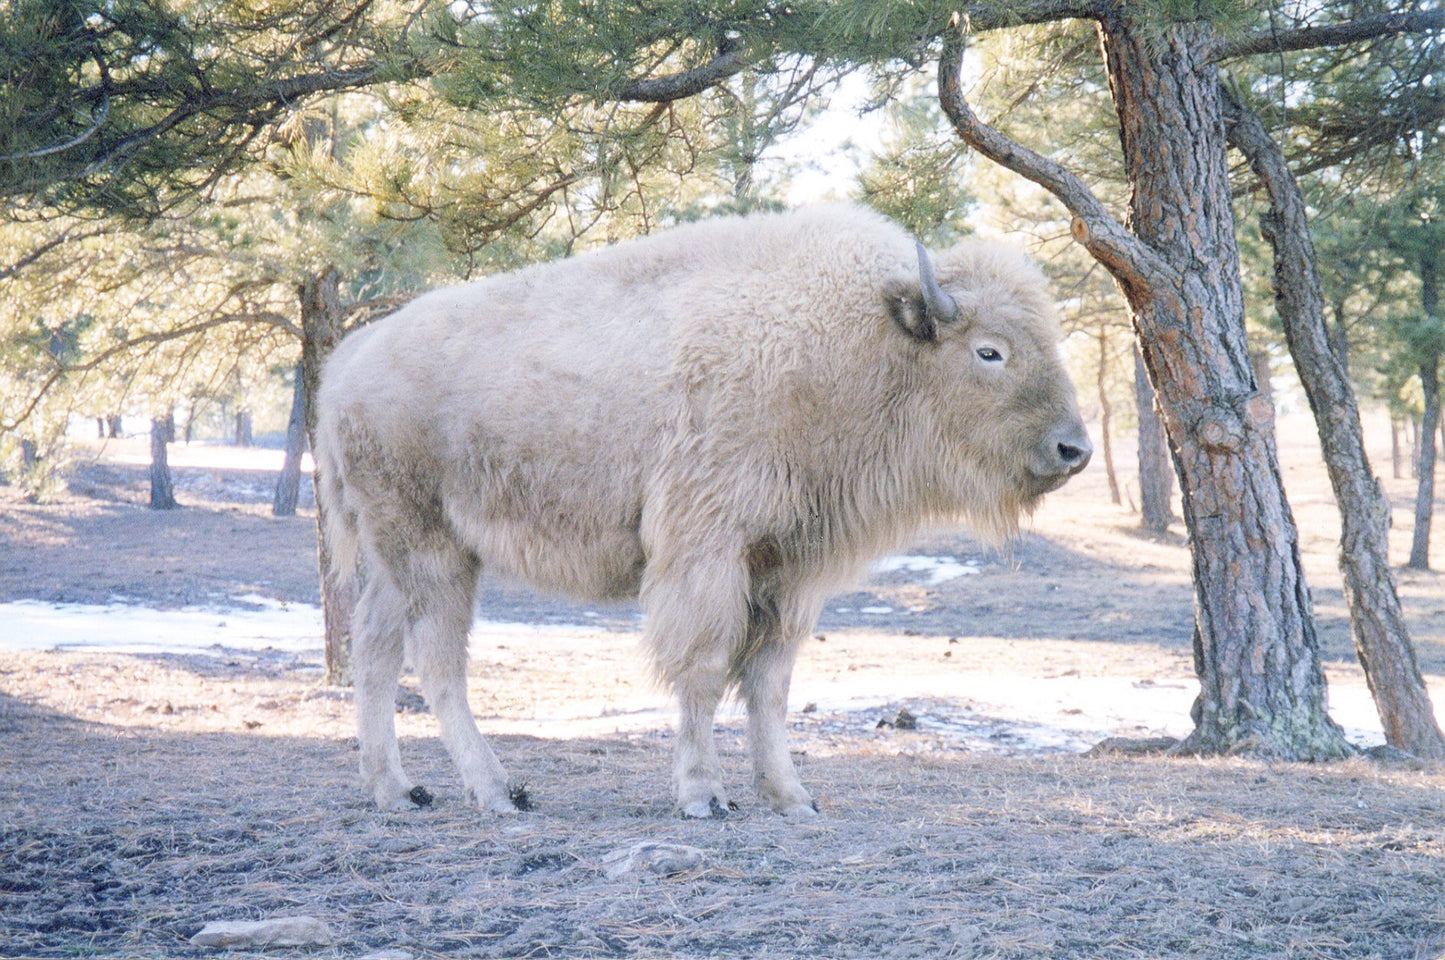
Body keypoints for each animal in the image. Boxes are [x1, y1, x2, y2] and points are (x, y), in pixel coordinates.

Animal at [313, 202, 1086, 815]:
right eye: (989, 351)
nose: (1072, 448)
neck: (858, 340)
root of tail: (346, 362)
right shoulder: (708, 551)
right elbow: (705, 669)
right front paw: (702, 795)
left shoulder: (787, 568)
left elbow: (770, 683)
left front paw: (790, 797)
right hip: (432, 545)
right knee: (438, 660)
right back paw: (496, 791)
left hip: (395, 552)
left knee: (375, 649)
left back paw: (397, 790)